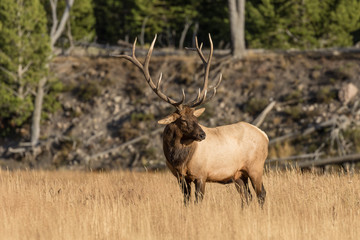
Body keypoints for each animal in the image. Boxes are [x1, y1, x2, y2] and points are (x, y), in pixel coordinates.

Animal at [114, 33, 268, 206]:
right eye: (183, 120)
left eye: (196, 118)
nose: (202, 135)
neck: (178, 160)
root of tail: (264, 135)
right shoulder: (180, 178)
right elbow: (186, 201)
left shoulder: (201, 174)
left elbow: (197, 200)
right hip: (238, 174)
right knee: (247, 197)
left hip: (256, 167)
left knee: (261, 194)